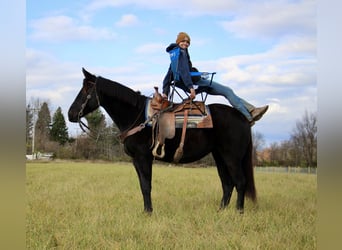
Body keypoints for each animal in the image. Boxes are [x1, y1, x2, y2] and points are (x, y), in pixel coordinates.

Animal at [68, 68, 255, 213]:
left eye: (85, 91)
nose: (70, 114)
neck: (136, 116)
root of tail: (243, 117)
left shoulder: (144, 157)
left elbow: (146, 185)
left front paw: (148, 212)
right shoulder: (136, 160)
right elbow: (142, 185)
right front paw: (146, 211)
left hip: (232, 157)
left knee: (240, 182)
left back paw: (239, 212)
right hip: (219, 156)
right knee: (227, 184)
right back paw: (220, 211)